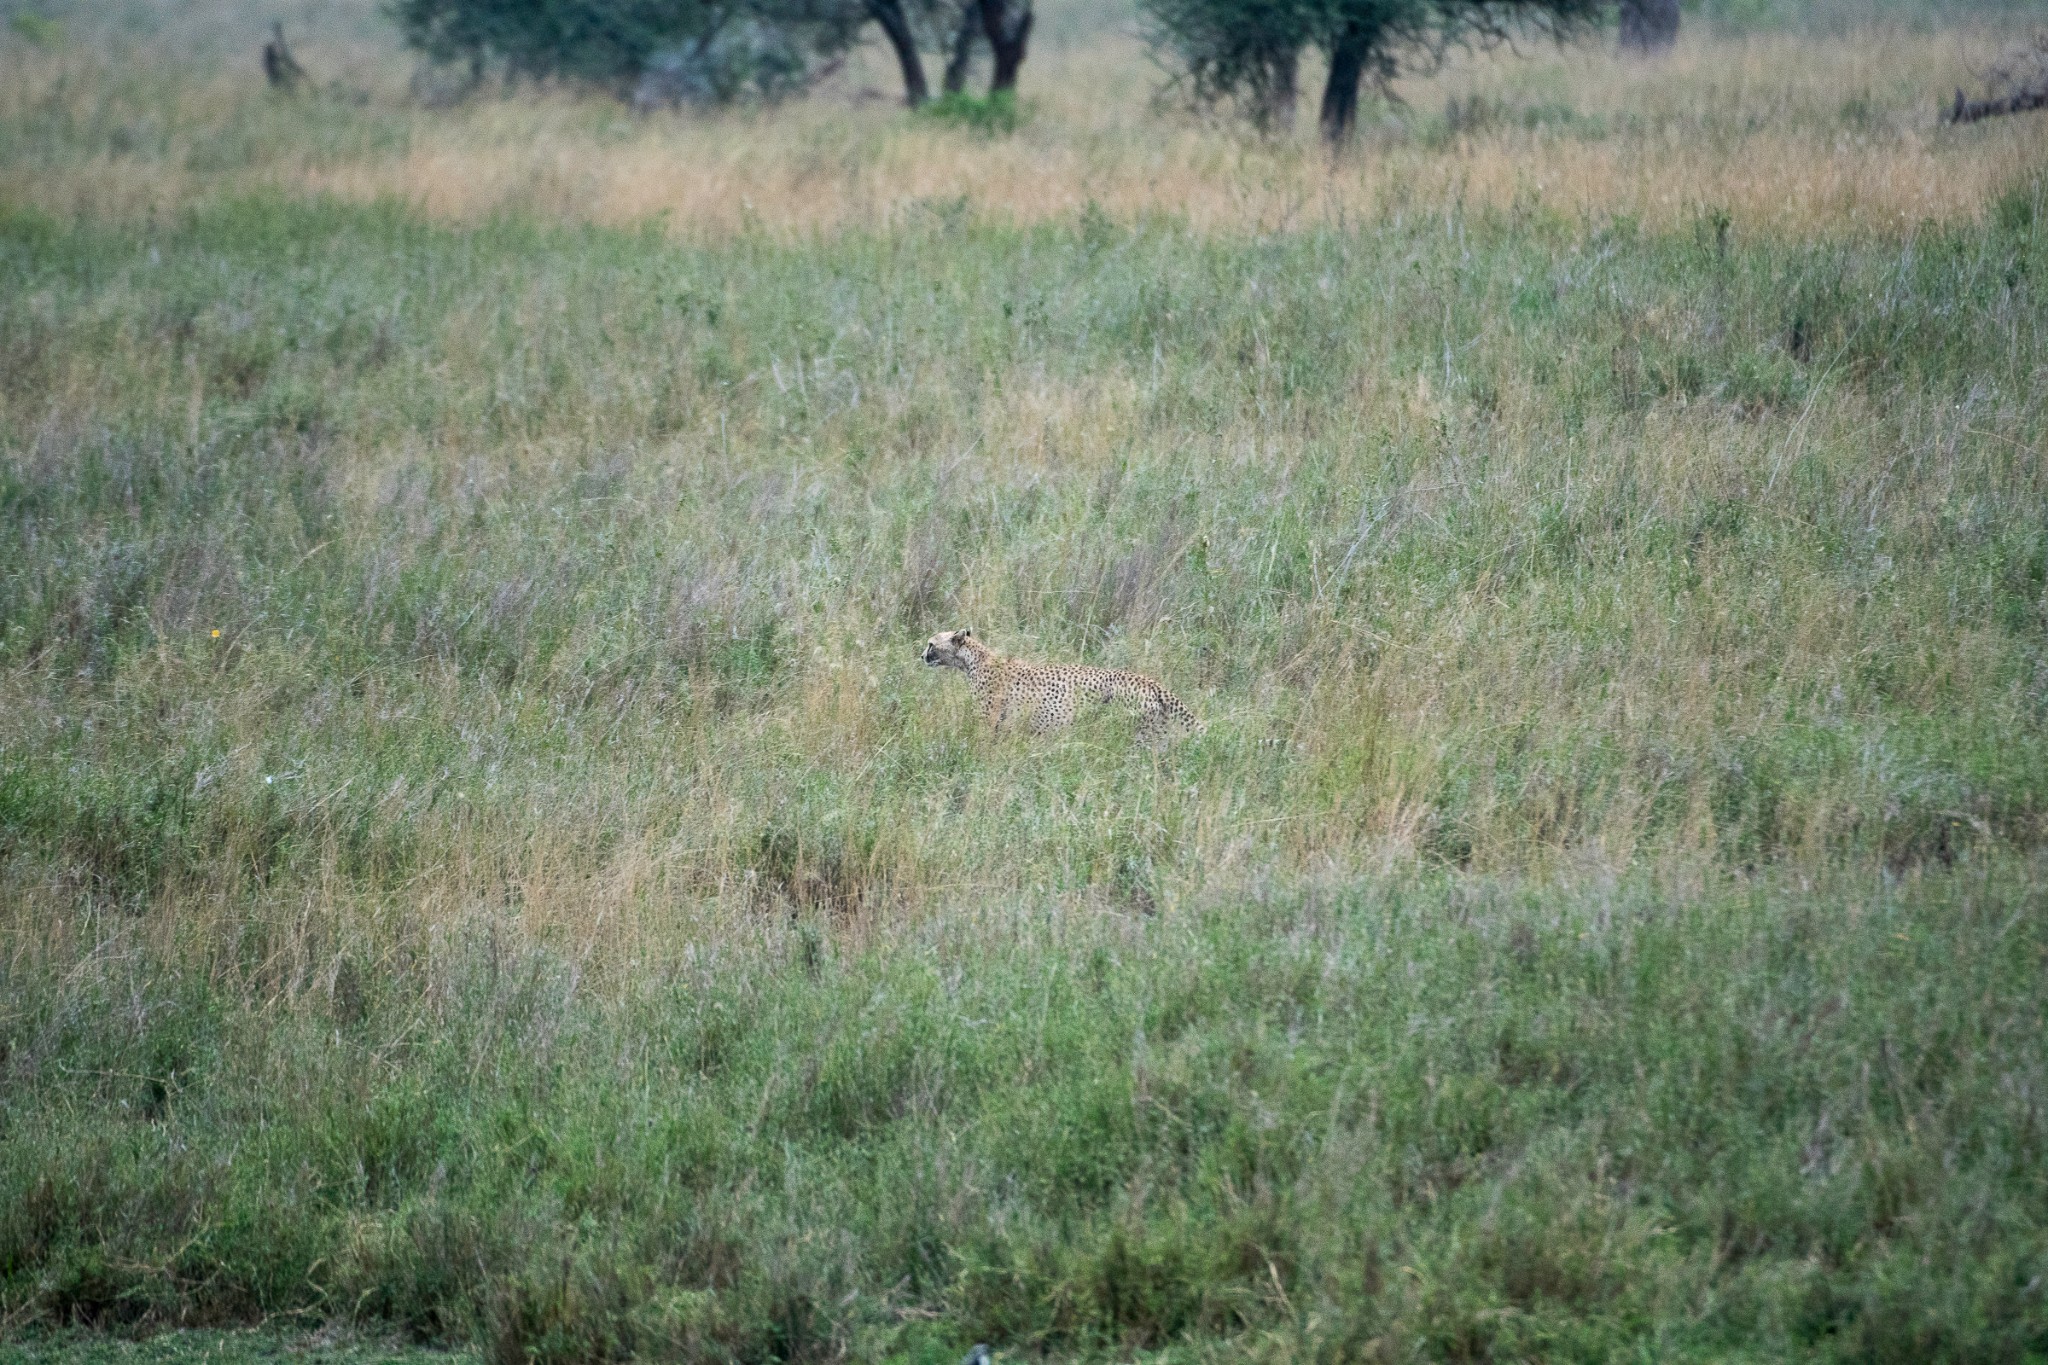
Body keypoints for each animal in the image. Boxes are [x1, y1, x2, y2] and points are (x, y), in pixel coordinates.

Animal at [917, 634, 1196, 749]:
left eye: (931, 643)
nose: (921, 655)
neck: (973, 658)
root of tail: (1148, 680)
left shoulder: (989, 722)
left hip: (1128, 735)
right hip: (1154, 736)